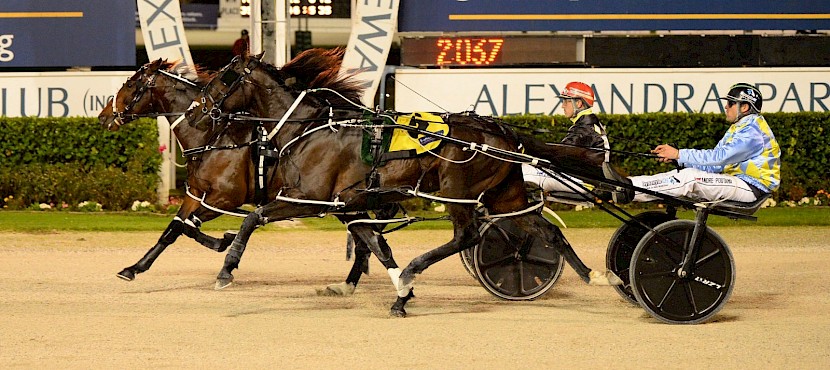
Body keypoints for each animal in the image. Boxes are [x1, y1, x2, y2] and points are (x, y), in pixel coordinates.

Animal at [97, 57, 396, 294]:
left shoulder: (224, 199)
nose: (103, 117)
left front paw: (225, 245)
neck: (213, 136)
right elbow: (173, 229)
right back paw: (349, 284)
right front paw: (134, 268)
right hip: (344, 204)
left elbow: (189, 227)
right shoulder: (196, 195)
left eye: (131, 84)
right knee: (367, 241)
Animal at [184, 50, 624, 316]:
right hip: (506, 196)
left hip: (456, 191)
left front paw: (226, 269)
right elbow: (374, 243)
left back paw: (415, 269)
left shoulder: (310, 199)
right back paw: (601, 276)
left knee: (467, 236)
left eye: (222, 79)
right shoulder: (349, 204)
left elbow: (251, 218)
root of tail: (499, 130)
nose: (195, 112)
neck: (310, 129)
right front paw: (396, 292)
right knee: (545, 231)